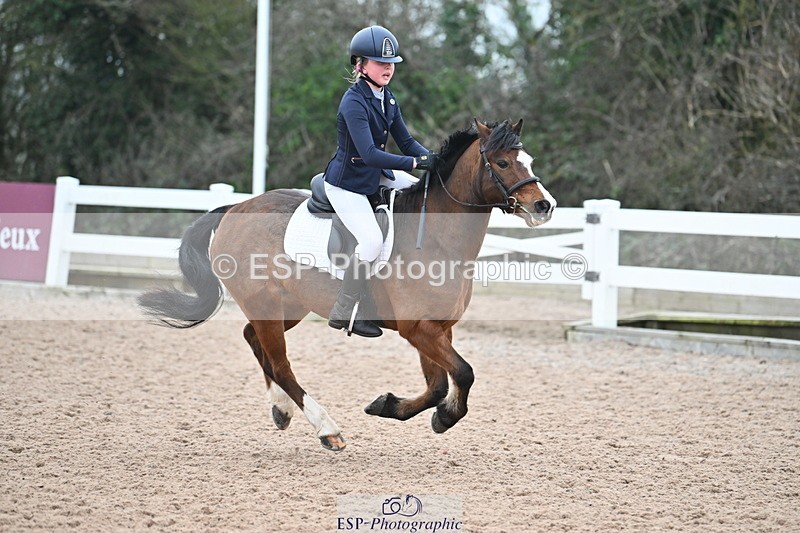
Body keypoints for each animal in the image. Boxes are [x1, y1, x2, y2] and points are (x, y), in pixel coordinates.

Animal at [138, 119, 556, 451]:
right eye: (502, 162)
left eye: (529, 161)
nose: (544, 206)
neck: (438, 238)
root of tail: (235, 209)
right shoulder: (418, 329)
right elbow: (463, 374)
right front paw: (441, 416)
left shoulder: (438, 329)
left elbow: (440, 383)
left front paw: (399, 407)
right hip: (265, 304)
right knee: (280, 363)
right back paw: (327, 430)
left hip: (291, 306)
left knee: (253, 339)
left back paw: (281, 409)